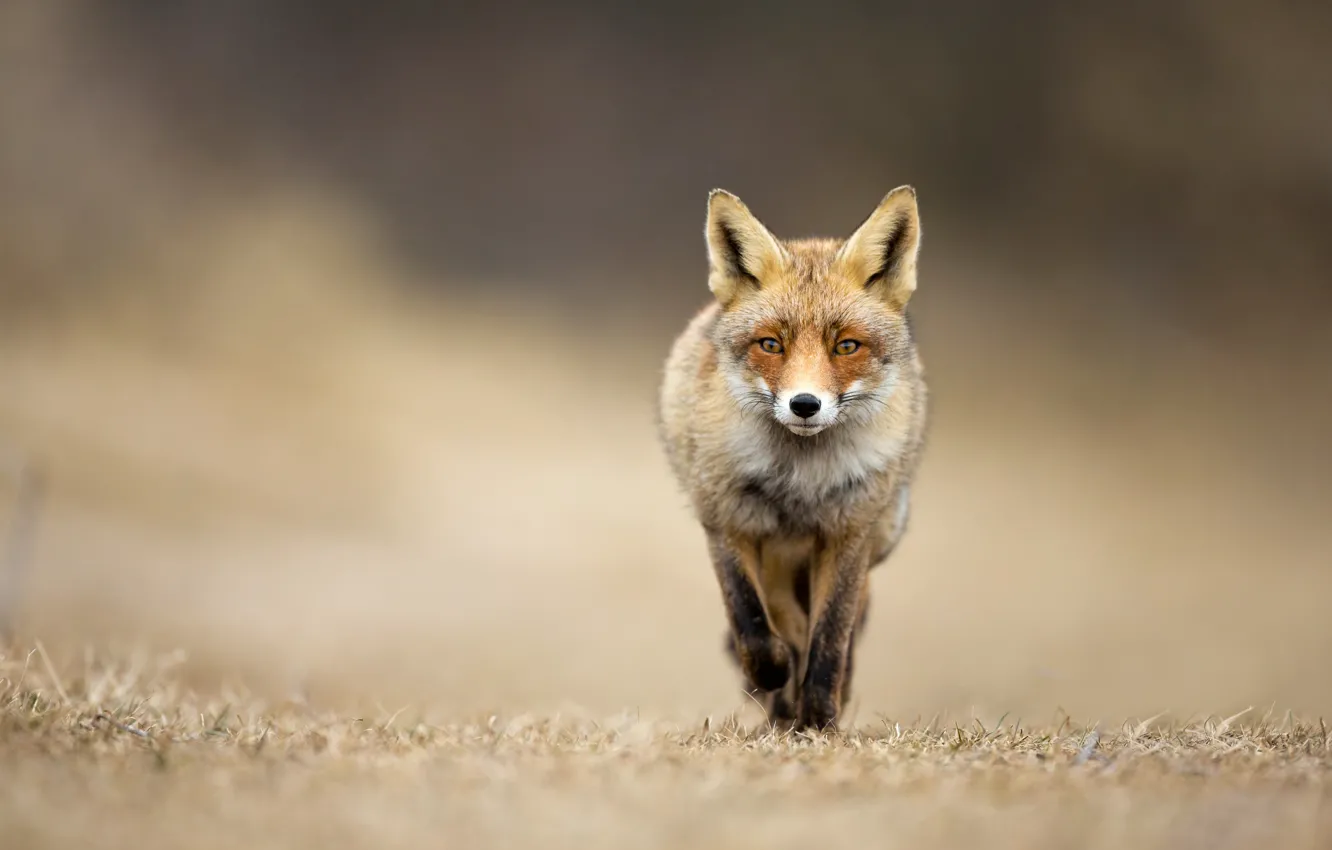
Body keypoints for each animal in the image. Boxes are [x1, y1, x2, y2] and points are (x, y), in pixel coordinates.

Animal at [657, 186, 929, 731]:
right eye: (771, 344)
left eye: (846, 346)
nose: (805, 404)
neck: (800, 479)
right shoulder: (727, 523)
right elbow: (751, 624)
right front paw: (775, 676)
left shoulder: (848, 534)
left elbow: (832, 636)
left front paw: (821, 719)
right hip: (778, 553)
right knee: (784, 619)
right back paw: (780, 701)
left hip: (875, 535)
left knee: (845, 624)